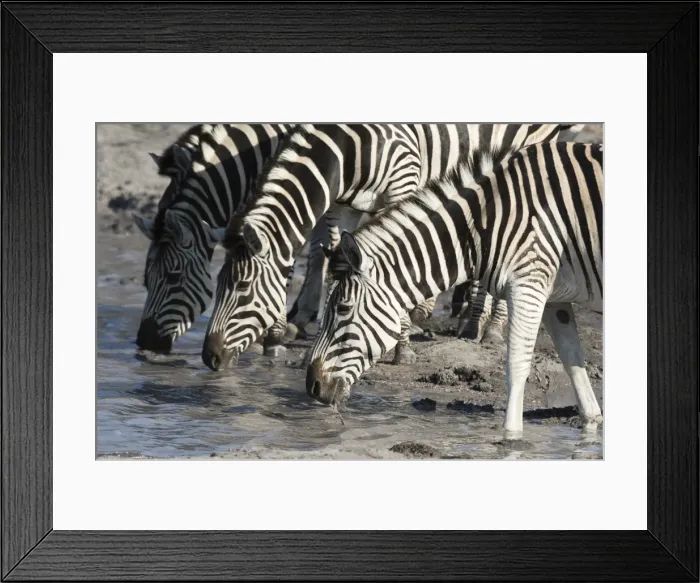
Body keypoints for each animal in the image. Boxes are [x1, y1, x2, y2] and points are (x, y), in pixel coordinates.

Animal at [202, 123, 581, 370]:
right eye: (217, 287)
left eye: (242, 287)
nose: (209, 357)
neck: (348, 149)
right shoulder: (342, 205)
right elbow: (333, 261)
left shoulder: (402, 182)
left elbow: (396, 261)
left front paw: (403, 347)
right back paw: (472, 323)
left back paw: (489, 328)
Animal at [306, 141, 603, 438]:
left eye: (343, 308)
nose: (312, 387)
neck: (486, 222)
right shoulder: (554, 297)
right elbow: (572, 358)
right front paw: (591, 424)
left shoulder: (529, 282)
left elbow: (517, 364)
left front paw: (511, 436)